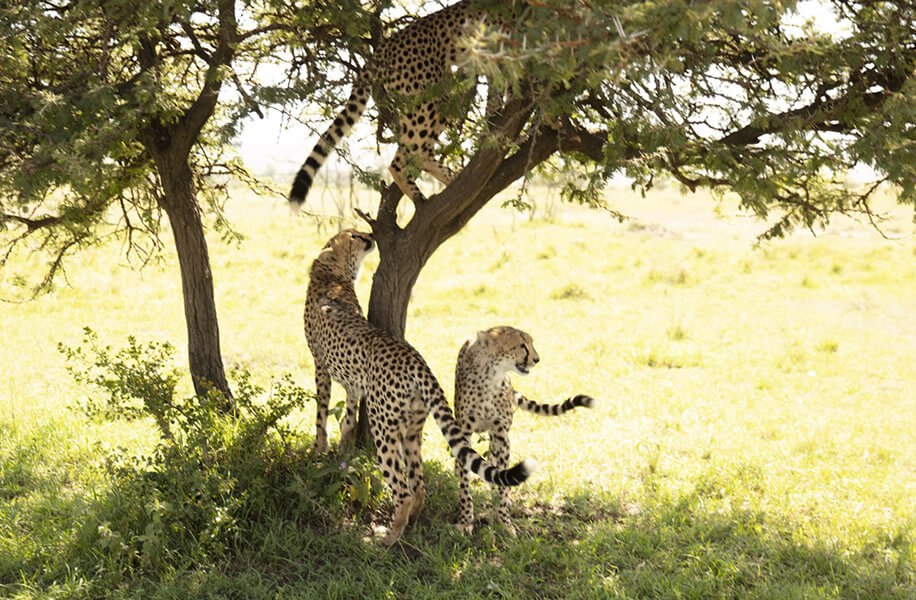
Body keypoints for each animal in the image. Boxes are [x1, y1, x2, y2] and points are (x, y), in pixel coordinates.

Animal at [288, 0, 508, 209]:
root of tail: (386, 44)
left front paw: (495, 116)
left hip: (441, 96)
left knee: (423, 152)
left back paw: (451, 177)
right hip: (426, 99)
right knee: (402, 160)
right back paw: (420, 198)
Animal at [304, 230, 540, 544]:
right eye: (353, 236)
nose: (368, 236)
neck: (332, 277)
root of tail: (415, 359)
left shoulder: (320, 366)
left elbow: (321, 412)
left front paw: (320, 449)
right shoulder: (352, 386)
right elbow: (348, 420)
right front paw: (342, 453)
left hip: (384, 428)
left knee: (402, 489)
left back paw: (387, 539)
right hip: (413, 428)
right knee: (419, 483)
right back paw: (413, 523)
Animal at [454, 326, 596, 536]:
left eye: (530, 343)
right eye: (521, 345)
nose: (537, 359)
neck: (490, 376)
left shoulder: (501, 435)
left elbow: (502, 480)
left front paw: (504, 521)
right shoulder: (465, 432)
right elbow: (465, 483)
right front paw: (465, 520)